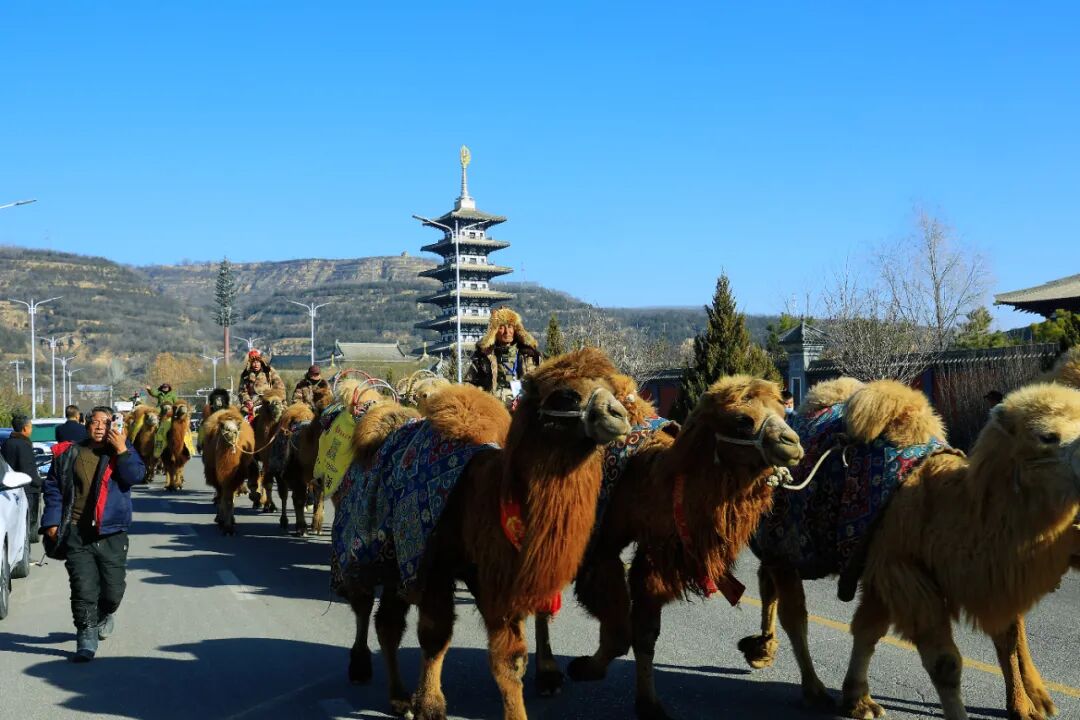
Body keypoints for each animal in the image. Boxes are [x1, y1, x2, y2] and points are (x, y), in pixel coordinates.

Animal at [200, 406, 259, 535]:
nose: (231, 432)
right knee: (221, 495)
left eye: (236, 428)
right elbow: (224, 498)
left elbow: (229, 500)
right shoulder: (220, 477)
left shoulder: (234, 477)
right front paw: (223, 523)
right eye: (223, 427)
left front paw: (229, 526)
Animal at [335, 348, 633, 720]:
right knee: (363, 603)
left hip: (396, 563)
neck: (484, 496)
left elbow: (512, 657)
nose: (619, 415)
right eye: (565, 394)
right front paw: (430, 705)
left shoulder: (497, 575)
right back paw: (362, 669)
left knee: (387, 622)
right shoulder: (434, 564)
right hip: (366, 549)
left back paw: (399, 697)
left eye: (614, 388)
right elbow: (437, 636)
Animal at [528, 374, 803, 719]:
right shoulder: (602, 544)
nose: (792, 443)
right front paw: (589, 670)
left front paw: (646, 702)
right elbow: (619, 627)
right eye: (743, 419)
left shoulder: (654, 554)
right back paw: (546, 675)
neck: (653, 480)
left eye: (782, 410)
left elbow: (643, 631)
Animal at [738, 379, 1080, 720]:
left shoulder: (882, 569)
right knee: (795, 616)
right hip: (784, 547)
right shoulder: (903, 572)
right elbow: (945, 662)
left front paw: (857, 699)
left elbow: (868, 630)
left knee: (769, 586)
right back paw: (812, 689)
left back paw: (761, 649)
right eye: (1046, 436)